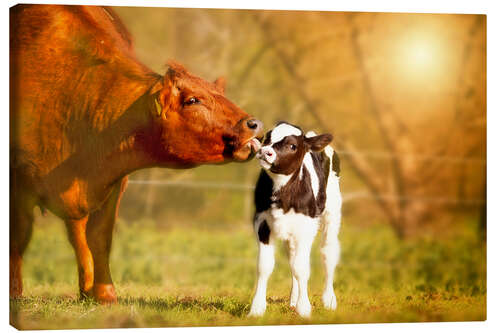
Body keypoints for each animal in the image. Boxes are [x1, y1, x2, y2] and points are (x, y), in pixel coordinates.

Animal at [9, 3, 264, 302]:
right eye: (192, 100)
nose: (253, 123)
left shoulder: (113, 180)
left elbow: (99, 236)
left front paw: (105, 294)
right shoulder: (18, 178)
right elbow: (17, 238)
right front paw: (14, 293)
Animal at [248, 122, 342, 316]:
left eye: (292, 146)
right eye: (267, 137)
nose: (266, 151)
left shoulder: (305, 227)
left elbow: (302, 268)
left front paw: (304, 308)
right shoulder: (262, 222)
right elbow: (265, 266)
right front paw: (257, 308)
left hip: (333, 213)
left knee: (328, 252)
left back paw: (329, 300)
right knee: (292, 258)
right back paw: (293, 299)